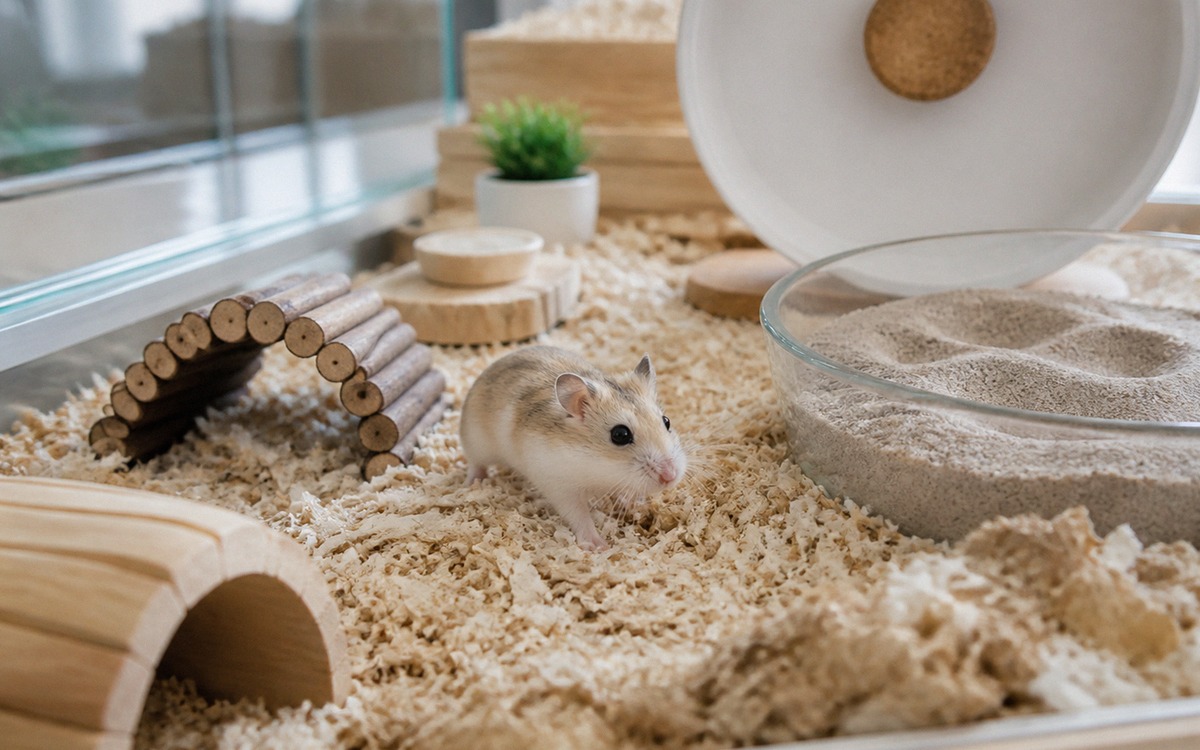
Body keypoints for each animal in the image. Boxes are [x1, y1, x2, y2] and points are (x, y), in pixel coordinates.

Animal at [460, 345, 687, 550]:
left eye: (666, 421)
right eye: (620, 435)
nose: (670, 476)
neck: (595, 464)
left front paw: (637, 504)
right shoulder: (560, 487)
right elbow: (579, 515)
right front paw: (598, 546)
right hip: (476, 442)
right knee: (475, 463)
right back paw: (473, 485)